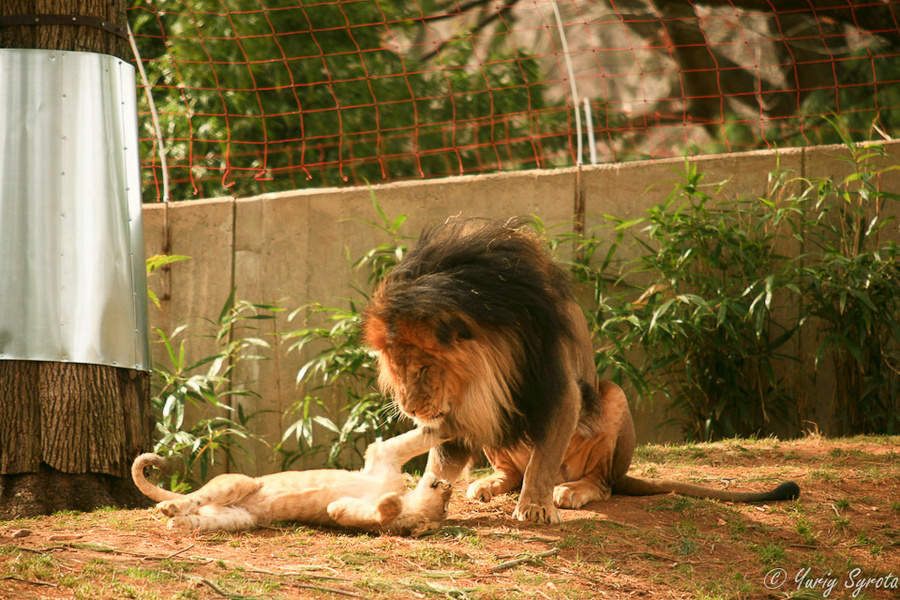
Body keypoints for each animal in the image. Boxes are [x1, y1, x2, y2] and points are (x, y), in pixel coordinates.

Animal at [132, 426, 450, 536]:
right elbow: (418, 438)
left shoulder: (345, 511)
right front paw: (447, 420)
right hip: (239, 483)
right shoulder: (383, 455)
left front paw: (390, 503)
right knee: (193, 497)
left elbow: (355, 511)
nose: (446, 485)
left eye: (445, 508)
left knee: (197, 516)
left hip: (237, 518)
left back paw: (176, 520)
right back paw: (172, 508)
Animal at [362, 217, 800, 524]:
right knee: (510, 469)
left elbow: (541, 461)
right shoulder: (469, 408)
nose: (409, 407)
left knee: (601, 482)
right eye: (396, 369)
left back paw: (572, 490)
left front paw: (535, 508)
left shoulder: (558, 389)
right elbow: (440, 462)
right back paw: (491, 482)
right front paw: (420, 500)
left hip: (611, 397)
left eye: (424, 367)